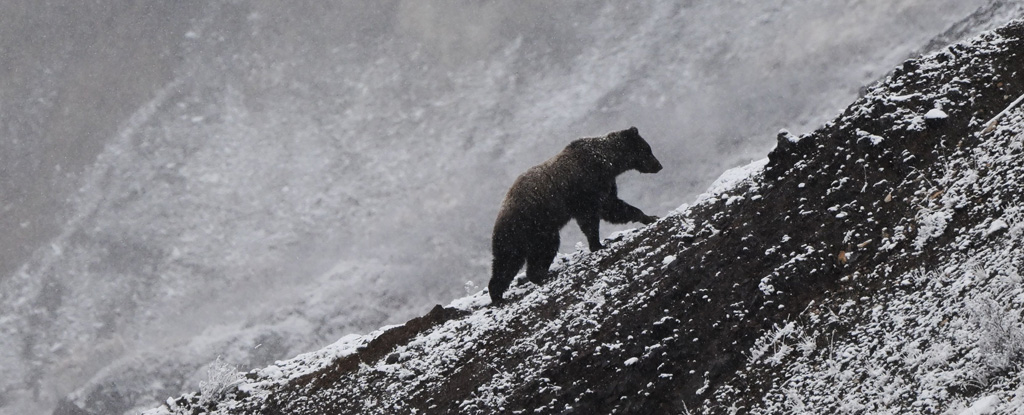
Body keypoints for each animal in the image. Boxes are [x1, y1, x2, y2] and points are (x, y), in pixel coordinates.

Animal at [489, 124, 663, 303]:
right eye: (647, 150)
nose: (658, 165)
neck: (608, 162)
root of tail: (500, 214)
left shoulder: (604, 186)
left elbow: (613, 207)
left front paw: (649, 217)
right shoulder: (585, 188)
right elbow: (591, 218)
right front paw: (597, 244)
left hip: (537, 232)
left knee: (522, 258)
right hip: (527, 226)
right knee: (512, 259)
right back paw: (503, 292)